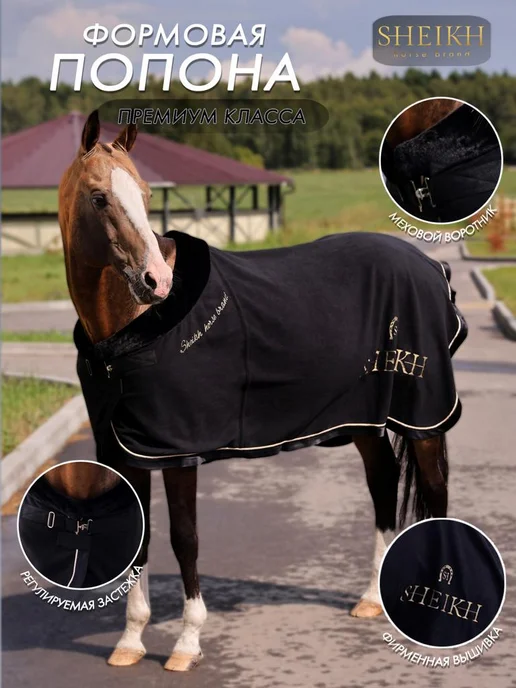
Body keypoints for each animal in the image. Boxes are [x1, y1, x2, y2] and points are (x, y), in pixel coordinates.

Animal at [58, 110, 465, 671]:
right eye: (99, 198)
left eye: (144, 193)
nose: (155, 281)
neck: (133, 328)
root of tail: (430, 266)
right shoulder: (126, 452)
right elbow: (139, 536)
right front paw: (130, 640)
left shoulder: (177, 452)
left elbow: (184, 538)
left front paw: (187, 643)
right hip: (363, 420)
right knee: (383, 482)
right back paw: (369, 598)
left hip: (422, 416)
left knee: (436, 490)